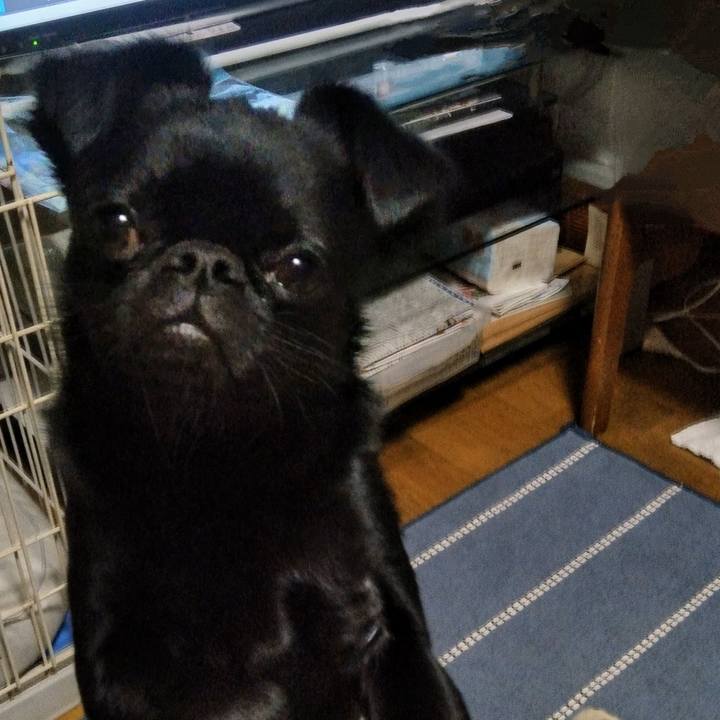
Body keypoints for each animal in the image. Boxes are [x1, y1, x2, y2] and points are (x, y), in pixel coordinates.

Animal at [31, 41, 470, 720]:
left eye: (297, 266)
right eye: (118, 223)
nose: (205, 261)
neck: (219, 447)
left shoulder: (389, 623)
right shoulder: (120, 662)